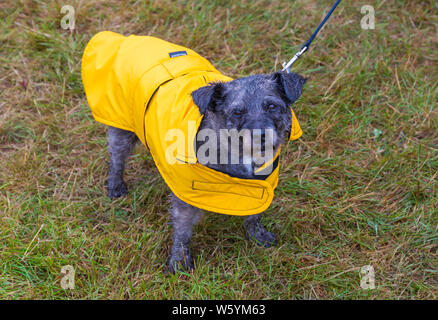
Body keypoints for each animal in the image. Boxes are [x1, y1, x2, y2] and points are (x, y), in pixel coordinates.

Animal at [81, 31, 304, 272]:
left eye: (272, 106)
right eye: (237, 112)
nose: (260, 135)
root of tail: (123, 38)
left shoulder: (261, 188)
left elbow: (255, 214)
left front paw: (257, 234)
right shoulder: (186, 197)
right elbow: (182, 230)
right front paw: (179, 261)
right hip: (122, 128)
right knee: (117, 157)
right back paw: (115, 185)